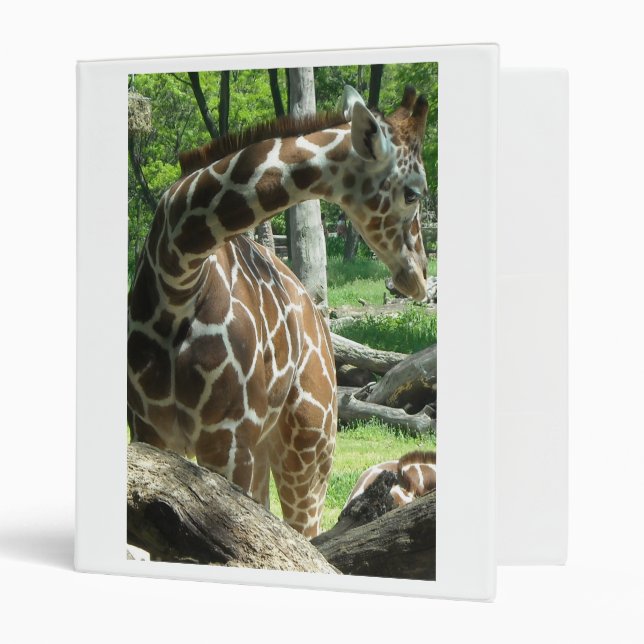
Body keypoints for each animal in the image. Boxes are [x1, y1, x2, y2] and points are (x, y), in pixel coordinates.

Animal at [128, 83, 430, 538]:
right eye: (412, 192)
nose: (421, 276)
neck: (177, 276)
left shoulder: (228, 438)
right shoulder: (148, 431)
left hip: (309, 449)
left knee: (306, 532)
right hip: (267, 450)